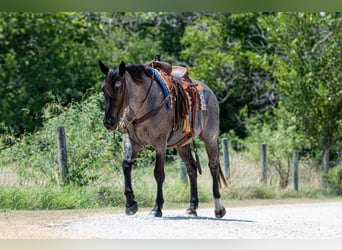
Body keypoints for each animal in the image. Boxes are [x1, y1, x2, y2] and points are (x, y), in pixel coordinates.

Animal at [99, 59, 227, 218]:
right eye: (104, 89)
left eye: (120, 88)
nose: (108, 122)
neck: (145, 105)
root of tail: (209, 92)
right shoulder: (132, 142)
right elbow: (126, 165)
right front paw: (130, 204)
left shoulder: (160, 145)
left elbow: (158, 174)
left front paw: (156, 208)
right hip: (182, 144)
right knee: (191, 168)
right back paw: (192, 207)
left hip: (210, 138)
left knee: (213, 166)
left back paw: (218, 207)